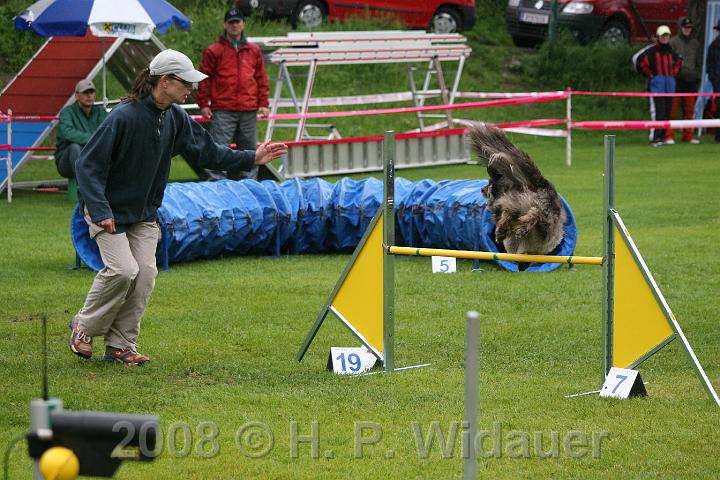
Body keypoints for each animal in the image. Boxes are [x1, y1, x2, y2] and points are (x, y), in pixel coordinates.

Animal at [468, 124, 566, 260]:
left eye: (489, 184)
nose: (481, 189)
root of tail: (539, 184)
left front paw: (502, 230)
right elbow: (507, 217)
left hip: (542, 219)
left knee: (536, 214)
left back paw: (520, 228)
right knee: (533, 214)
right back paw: (519, 228)